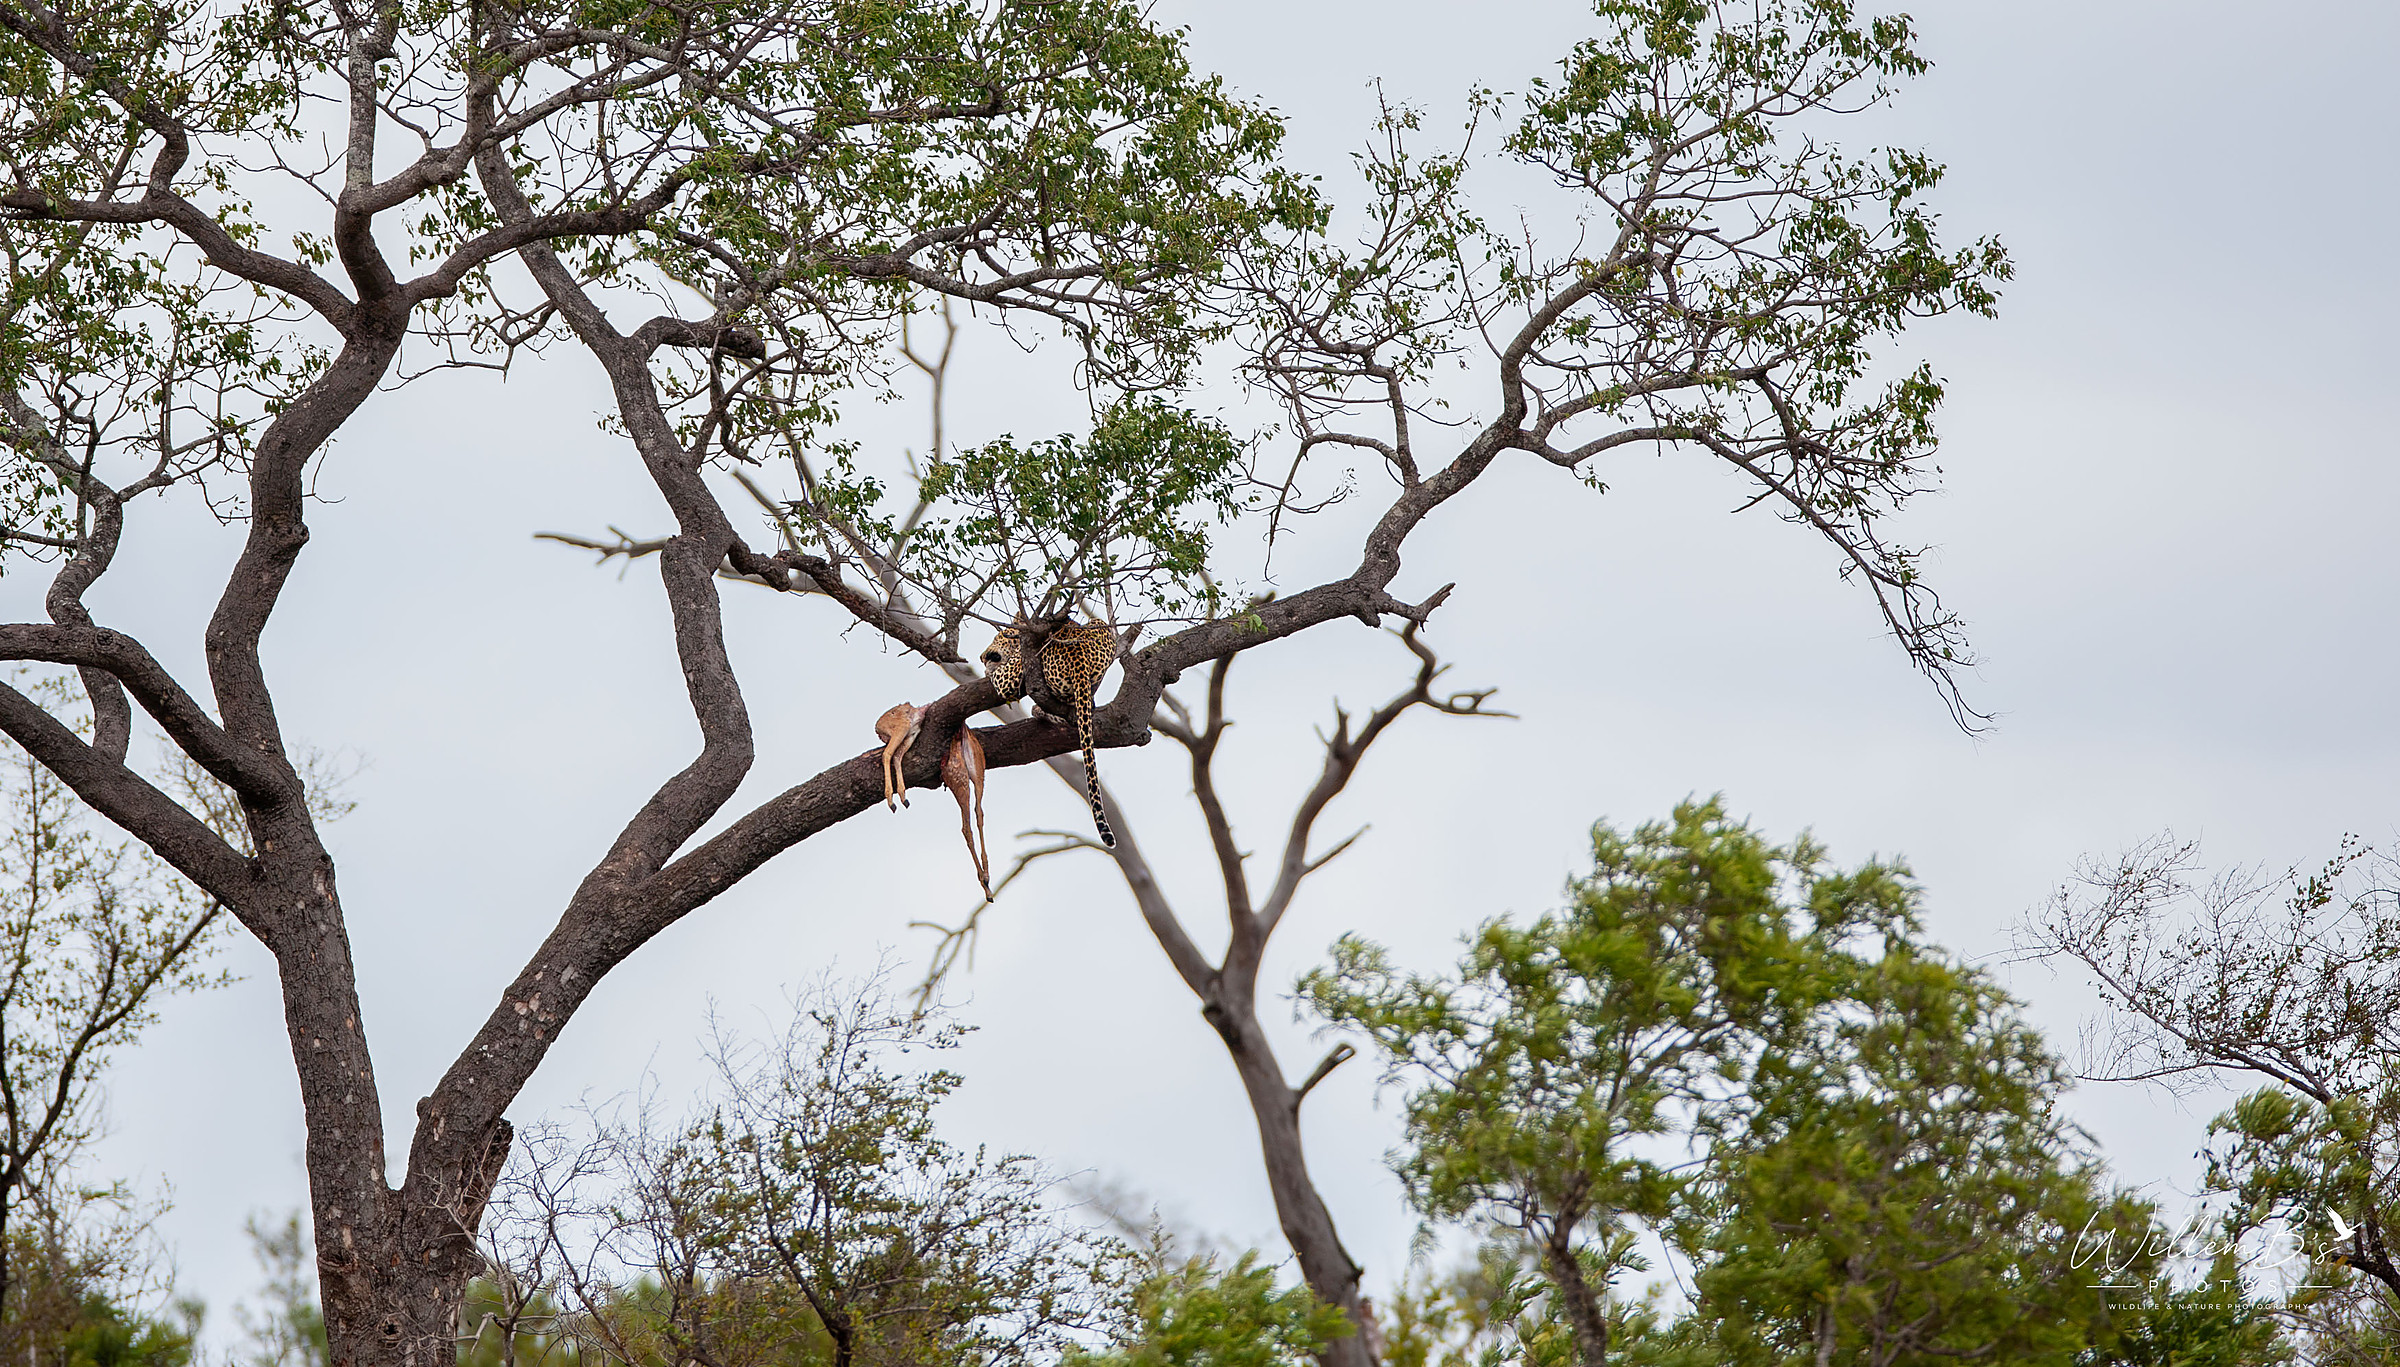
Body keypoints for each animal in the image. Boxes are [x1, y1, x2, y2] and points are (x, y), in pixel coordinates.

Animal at [980, 618, 1118, 849]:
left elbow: (998, 676)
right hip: (1099, 627)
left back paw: (1038, 710)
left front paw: (987, 670)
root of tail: (1077, 657)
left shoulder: (1013, 669)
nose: (982, 657)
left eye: (998, 636)